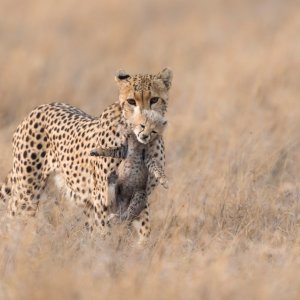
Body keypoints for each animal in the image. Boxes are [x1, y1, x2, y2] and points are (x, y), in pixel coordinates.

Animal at [1, 67, 172, 241]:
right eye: (131, 101)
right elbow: (105, 234)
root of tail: (40, 107)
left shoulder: (140, 195)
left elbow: (144, 232)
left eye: (154, 99)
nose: (143, 126)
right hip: (27, 192)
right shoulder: (103, 198)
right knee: (13, 217)